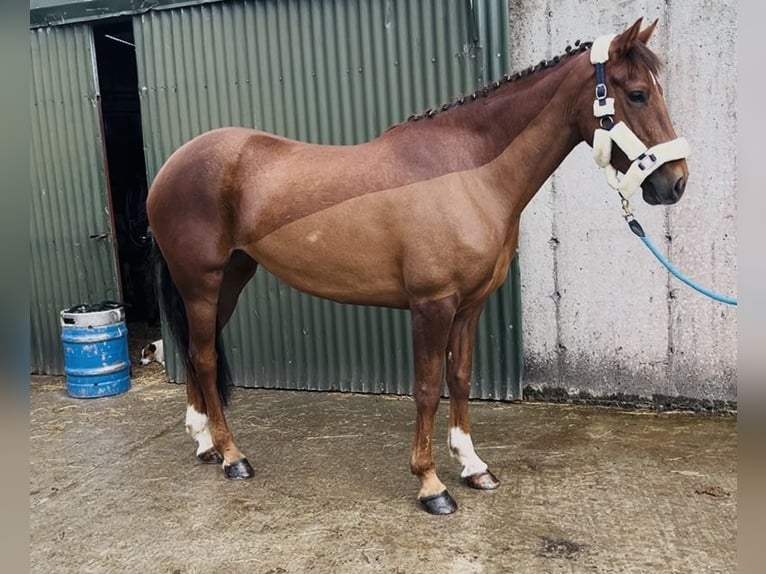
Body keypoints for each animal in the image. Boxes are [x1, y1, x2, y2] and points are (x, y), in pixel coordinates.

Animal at [146, 18, 689, 515]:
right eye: (637, 94)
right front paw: (432, 485)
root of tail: (172, 165)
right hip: (201, 283)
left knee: (196, 352)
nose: (676, 183)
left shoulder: (469, 306)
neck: (470, 172)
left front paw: (473, 466)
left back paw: (206, 443)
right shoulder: (432, 305)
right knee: (204, 356)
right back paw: (232, 456)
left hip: (231, 279)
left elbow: (461, 378)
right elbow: (427, 388)